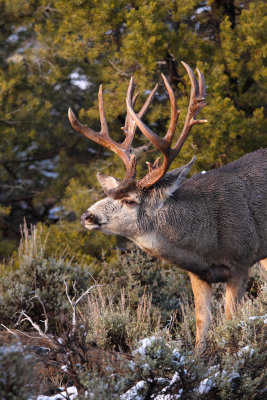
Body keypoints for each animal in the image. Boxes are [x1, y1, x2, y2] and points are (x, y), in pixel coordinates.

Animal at [69, 61, 267, 350]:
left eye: (129, 200)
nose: (87, 216)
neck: (208, 238)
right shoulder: (198, 274)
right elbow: (201, 323)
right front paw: (198, 357)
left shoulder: (242, 262)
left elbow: (232, 320)